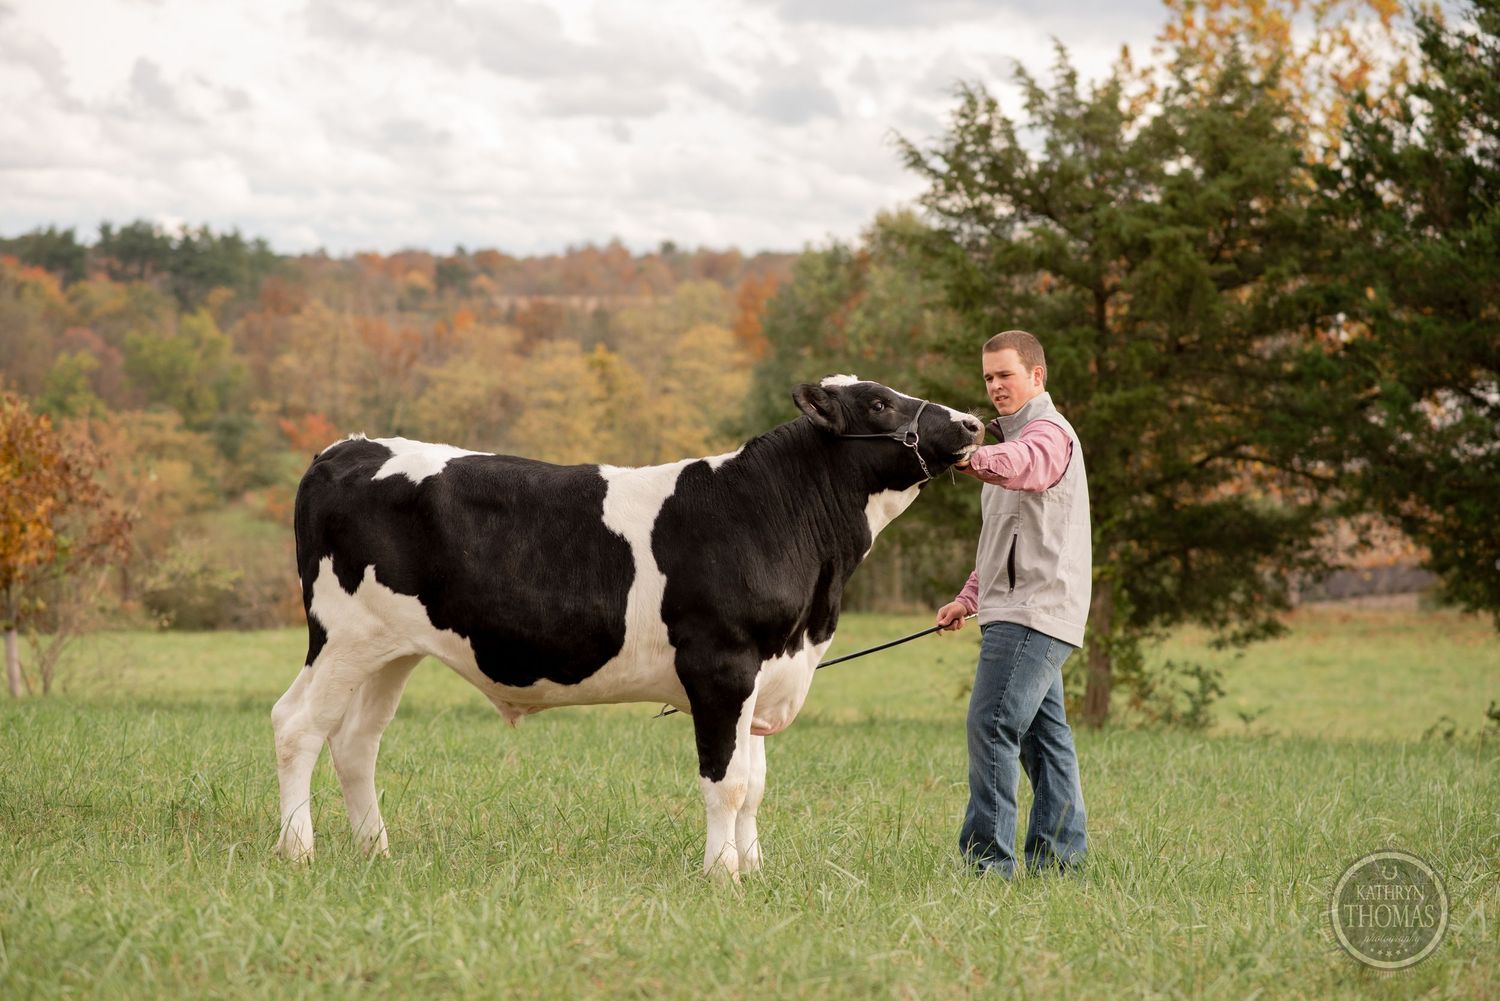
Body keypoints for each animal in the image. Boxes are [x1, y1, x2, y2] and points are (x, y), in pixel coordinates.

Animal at [273, 375, 984, 879]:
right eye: (878, 403)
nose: (972, 422)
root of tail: (348, 447)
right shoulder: (721, 666)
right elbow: (725, 784)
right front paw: (722, 874)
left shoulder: (765, 672)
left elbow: (754, 784)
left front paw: (754, 869)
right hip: (343, 636)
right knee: (298, 724)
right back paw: (298, 851)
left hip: (391, 650)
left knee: (356, 741)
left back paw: (375, 850)